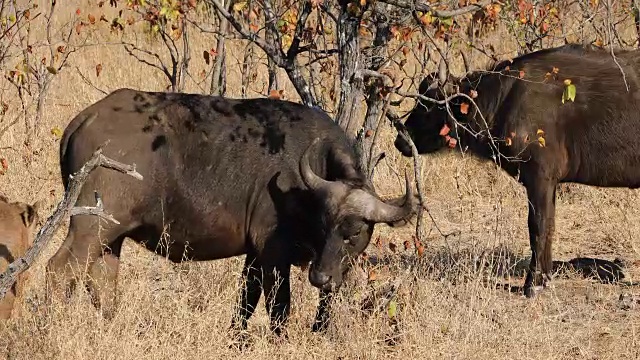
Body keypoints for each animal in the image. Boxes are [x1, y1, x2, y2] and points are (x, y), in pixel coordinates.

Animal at [48, 87, 420, 338]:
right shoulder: (273, 252)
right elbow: (278, 306)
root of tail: (87, 118)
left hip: (112, 235)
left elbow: (247, 300)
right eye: (323, 224)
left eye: (353, 232)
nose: (320, 277)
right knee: (60, 269)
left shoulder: (257, 255)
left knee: (101, 279)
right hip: (89, 226)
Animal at [392, 43, 640, 298]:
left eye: (430, 106)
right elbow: (549, 226)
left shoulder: (540, 178)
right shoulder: (549, 184)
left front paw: (533, 283)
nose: (400, 140)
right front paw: (545, 277)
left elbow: (538, 227)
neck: (505, 98)